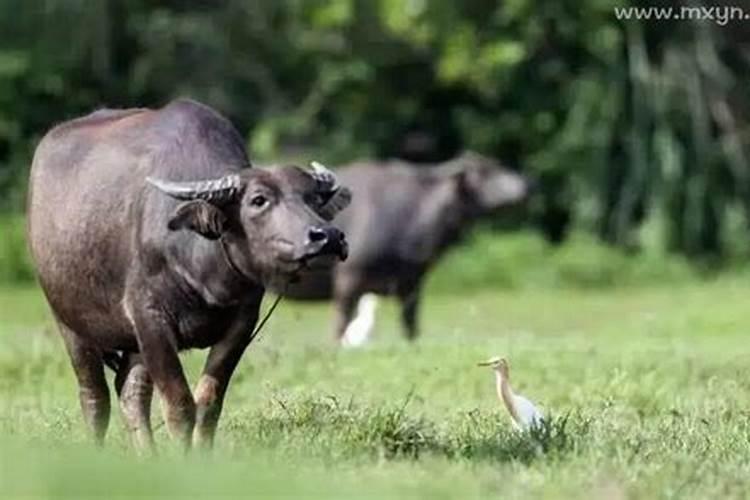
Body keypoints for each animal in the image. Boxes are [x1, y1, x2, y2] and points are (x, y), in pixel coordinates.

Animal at [26, 97, 350, 450]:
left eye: (312, 199)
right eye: (258, 200)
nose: (327, 237)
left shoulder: (241, 322)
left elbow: (209, 402)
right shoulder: (150, 318)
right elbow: (179, 404)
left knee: (131, 392)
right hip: (69, 320)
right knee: (95, 396)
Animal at [284, 153, 532, 344]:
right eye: (486, 171)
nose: (526, 185)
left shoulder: (412, 283)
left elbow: (411, 325)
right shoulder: (348, 280)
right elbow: (341, 324)